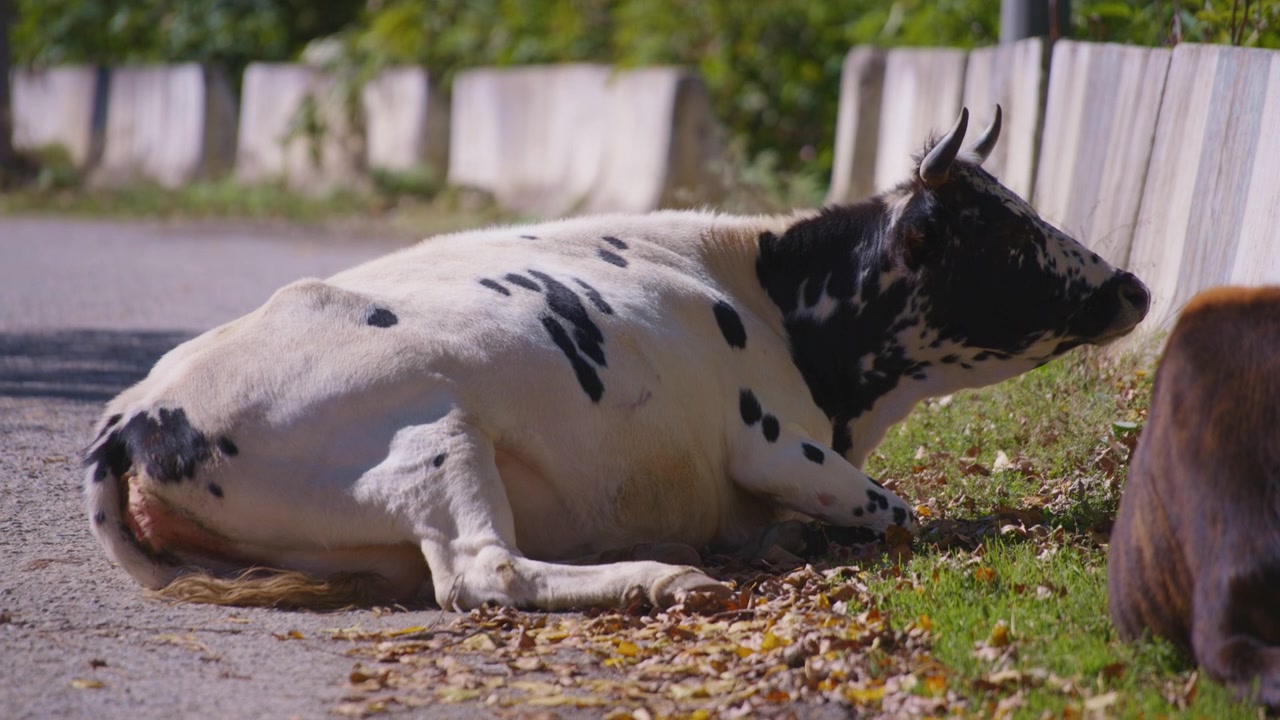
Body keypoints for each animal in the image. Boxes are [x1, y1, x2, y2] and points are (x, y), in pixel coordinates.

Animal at [84, 107, 1150, 612]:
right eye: (1003, 234)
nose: (1135, 288)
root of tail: (133, 413)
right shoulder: (774, 444)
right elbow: (902, 514)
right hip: (432, 434)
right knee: (484, 572)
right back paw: (665, 577)